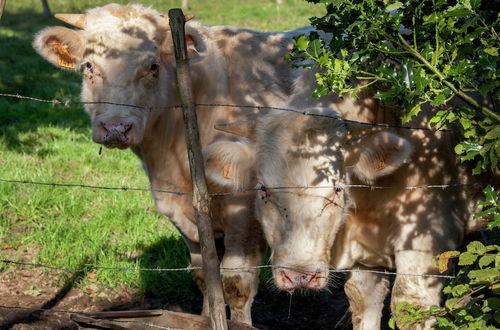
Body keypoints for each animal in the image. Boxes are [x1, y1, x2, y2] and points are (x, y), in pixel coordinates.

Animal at [32, 2, 320, 324]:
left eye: (153, 66)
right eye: (89, 66)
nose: (116, 128)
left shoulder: (245, 215)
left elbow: (237, 283)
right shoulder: (180, 213)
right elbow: (205, 277)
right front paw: (207, 319)